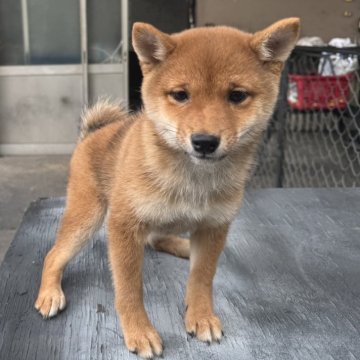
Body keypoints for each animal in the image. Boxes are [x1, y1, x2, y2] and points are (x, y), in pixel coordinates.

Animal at [35, 19, 300, 358]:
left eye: (237, 95)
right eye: (180, 95)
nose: (204, 142)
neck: (192, 178)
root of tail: (94, 133)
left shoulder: (215, 227)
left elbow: (202, 278)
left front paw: (201, 316)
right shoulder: (124, 225)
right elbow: (129, 288)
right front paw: (139, 331)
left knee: (158, 238)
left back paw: (184, 246)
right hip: (87, 218)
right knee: (53, 255)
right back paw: (50, 294)